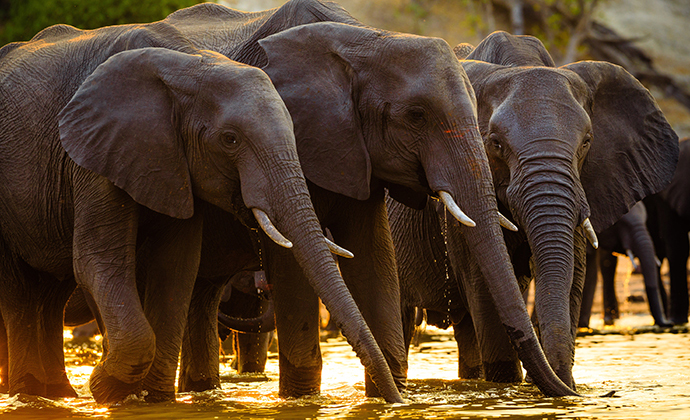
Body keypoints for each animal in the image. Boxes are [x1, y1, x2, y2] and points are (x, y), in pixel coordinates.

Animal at [0, 18, 392, 404]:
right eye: (230, 140)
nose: (395, 399)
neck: (189, 63)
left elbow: (176, 268)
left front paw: (152, 399)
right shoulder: (95, 153)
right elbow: (98, 261)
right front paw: (106, 387)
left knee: (49, 295)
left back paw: (56, 394)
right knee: (21, 295)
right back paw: (31, 393)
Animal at [163, 0, 576, 398]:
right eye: (416, 115)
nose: (570, 393)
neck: (366, 42)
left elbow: (374, 254)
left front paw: (386, 394)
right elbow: (294, 261)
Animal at [388, 29, 676, 390]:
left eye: (587, 142)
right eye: (495, 143)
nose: (570, 391)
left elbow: (572, 277)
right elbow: (486, 288)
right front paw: (511, 388)